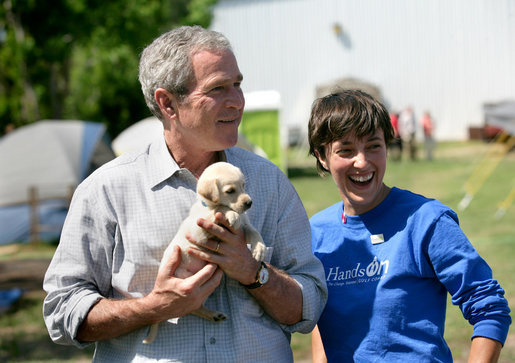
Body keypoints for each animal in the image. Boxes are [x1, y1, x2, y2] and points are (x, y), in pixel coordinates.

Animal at [143, 162, 268, 344]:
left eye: (243, 185)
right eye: (230, 191)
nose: (249, 203)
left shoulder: (245, 227)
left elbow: (254, 231)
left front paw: (260, 249)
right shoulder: (198, 231)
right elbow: (219, 209)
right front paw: (230, 214)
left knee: (195, 307)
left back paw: (214, 315)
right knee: (188, 308)